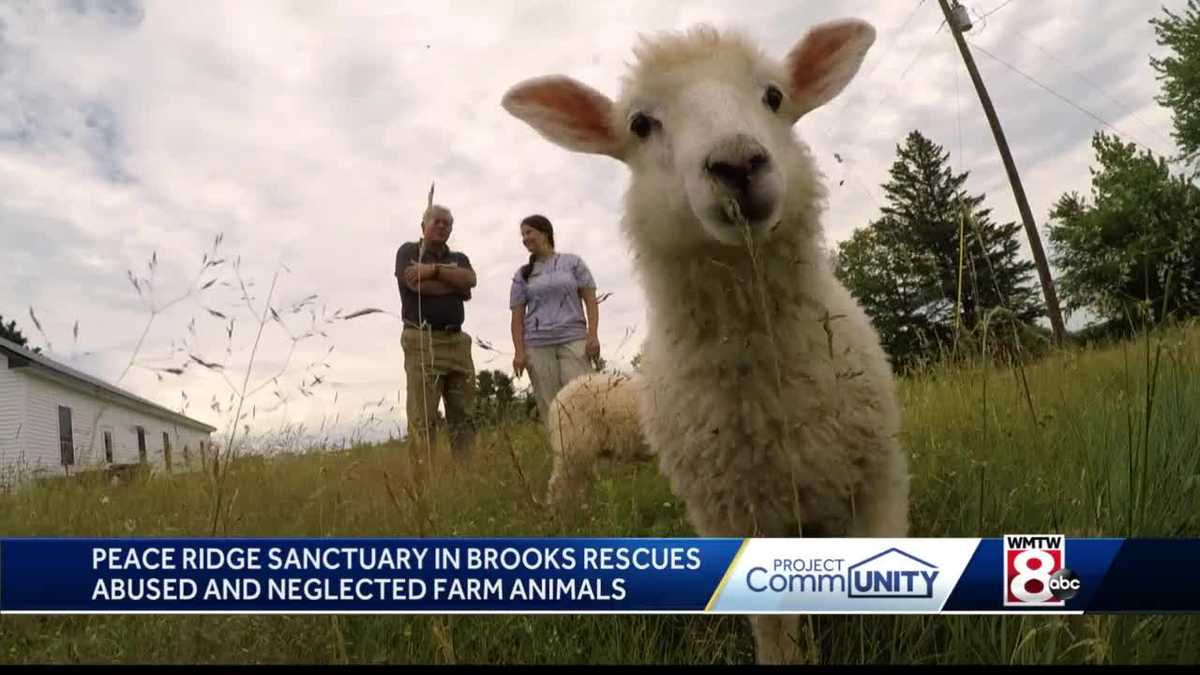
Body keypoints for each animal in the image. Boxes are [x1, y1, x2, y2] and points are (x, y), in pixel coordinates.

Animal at [504, 19, 907, 662]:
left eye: (774, 95)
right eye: (640, 124)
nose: (737, 162)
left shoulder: (879, 482)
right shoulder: (736, 517)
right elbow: (776, 631)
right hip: (574, 453)